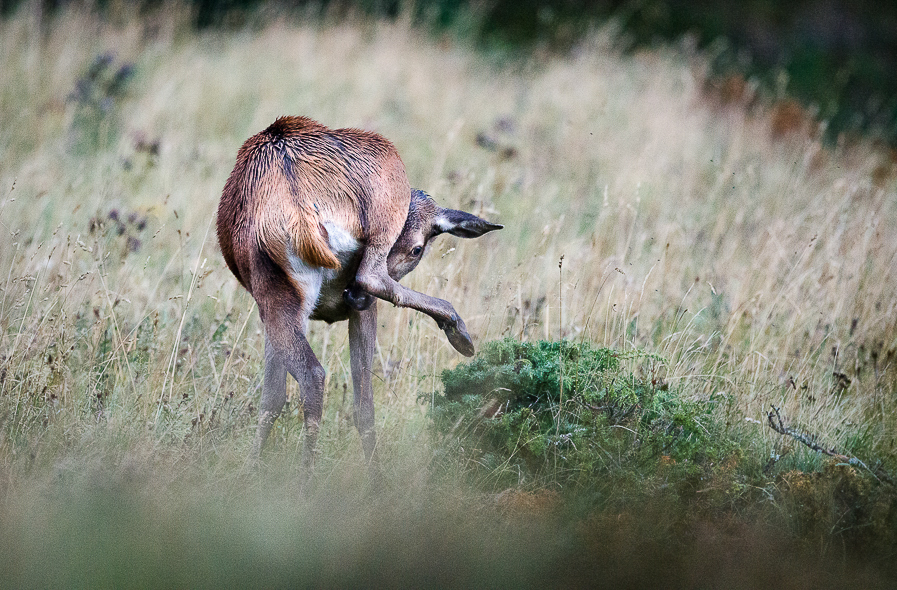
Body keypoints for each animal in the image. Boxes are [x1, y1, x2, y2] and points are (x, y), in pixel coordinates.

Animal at [214, 115, 500, 480]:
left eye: (416, 249)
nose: (350, 296)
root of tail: (302, 211)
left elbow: (273, 397)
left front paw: (248, 472)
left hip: (276, 293)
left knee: (310, 378)